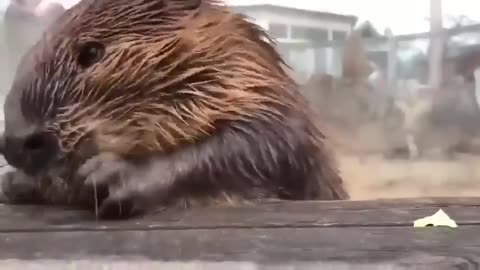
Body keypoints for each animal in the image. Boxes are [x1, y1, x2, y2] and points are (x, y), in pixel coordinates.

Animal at [0, 0, 348, 218]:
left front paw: (112, 176)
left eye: (92, 52)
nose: (14, 143)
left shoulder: (268, 104)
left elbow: (257, 146)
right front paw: (13, 184)